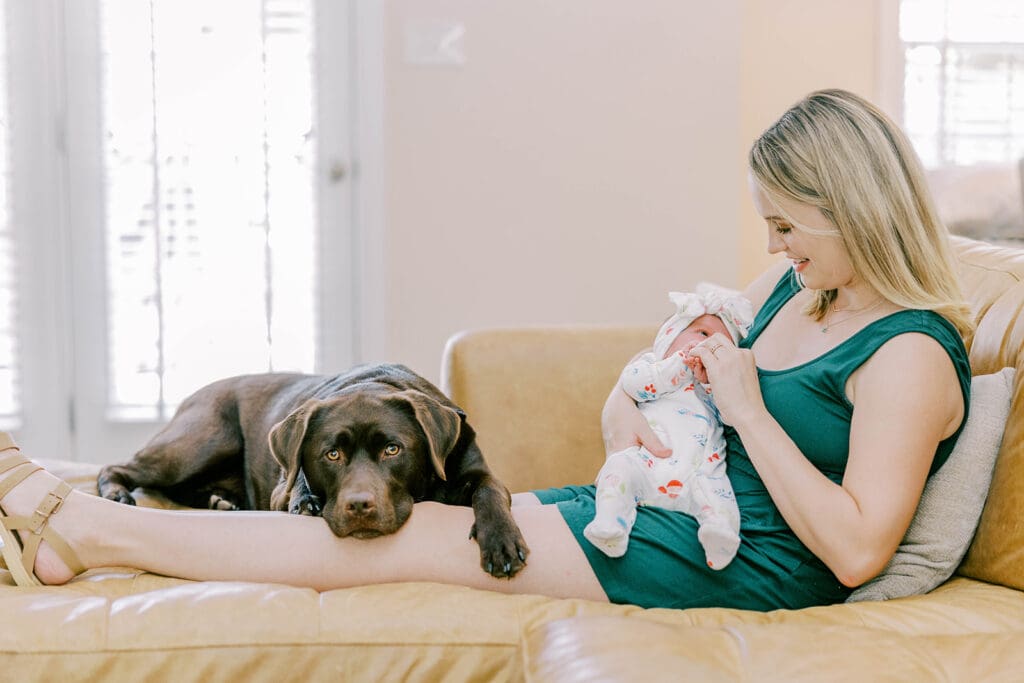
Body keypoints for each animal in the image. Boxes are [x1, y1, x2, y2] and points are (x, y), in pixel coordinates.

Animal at [96, 362, 532, 577]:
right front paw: (306, 501)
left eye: (392, 449)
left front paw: (501, 541)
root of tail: (194, 393)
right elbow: (296, 483)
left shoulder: (474, 469)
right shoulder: (282, 484)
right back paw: (115, 493)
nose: (359, 506)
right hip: (200, 443)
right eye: (331, 455)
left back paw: (220, 501)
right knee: (119, 466)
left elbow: (490, 490)